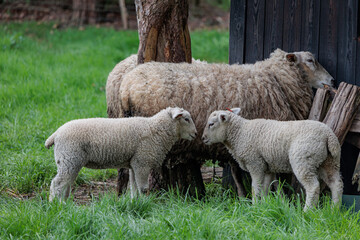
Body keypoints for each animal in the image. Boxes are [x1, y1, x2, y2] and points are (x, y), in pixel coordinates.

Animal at [45, 107, 197, 201]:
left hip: (69, 161)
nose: (195, 134)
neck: (156, 129)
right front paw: (145, 203)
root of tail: (55, 134)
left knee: (66, 184)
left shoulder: (134, 163)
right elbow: (143, 188)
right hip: (69, 158)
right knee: (57, 183)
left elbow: (134, 188)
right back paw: (55, 205)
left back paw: (65, 204)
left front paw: (135, 203)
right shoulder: (142, 162)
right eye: (186, 119)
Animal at [111, 48, 334, 195]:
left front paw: (245, 197)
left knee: (124, 169)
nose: (331, 80)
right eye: (310, 60)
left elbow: (237, 172)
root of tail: (127, 86)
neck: (277, 80)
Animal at [201, 108, 342, 211]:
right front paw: (265, 206)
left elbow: (256, 187)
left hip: (304, 160)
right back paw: (334, 210)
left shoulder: (255, 163)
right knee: (336, 184)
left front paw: (255, 207)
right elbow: (265, 188)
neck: (240, 133)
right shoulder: (267, 167)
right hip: (328, 162)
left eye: (211, 124)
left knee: (313, 187)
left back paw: (307, 212)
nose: (203, 138)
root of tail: (328, 135)